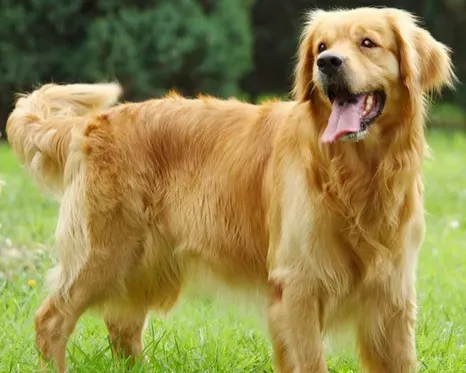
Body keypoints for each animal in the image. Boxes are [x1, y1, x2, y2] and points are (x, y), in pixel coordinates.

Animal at [4, 5, 456, 372]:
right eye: (322, 46)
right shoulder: (298, 287)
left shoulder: (393, 297)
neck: (356, 174)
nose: (327, 63)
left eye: (368, 42)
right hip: (105, 252)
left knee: (121, 325)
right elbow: (310, 361)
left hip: (145, 263)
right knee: (51, 320)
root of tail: (90, 124)